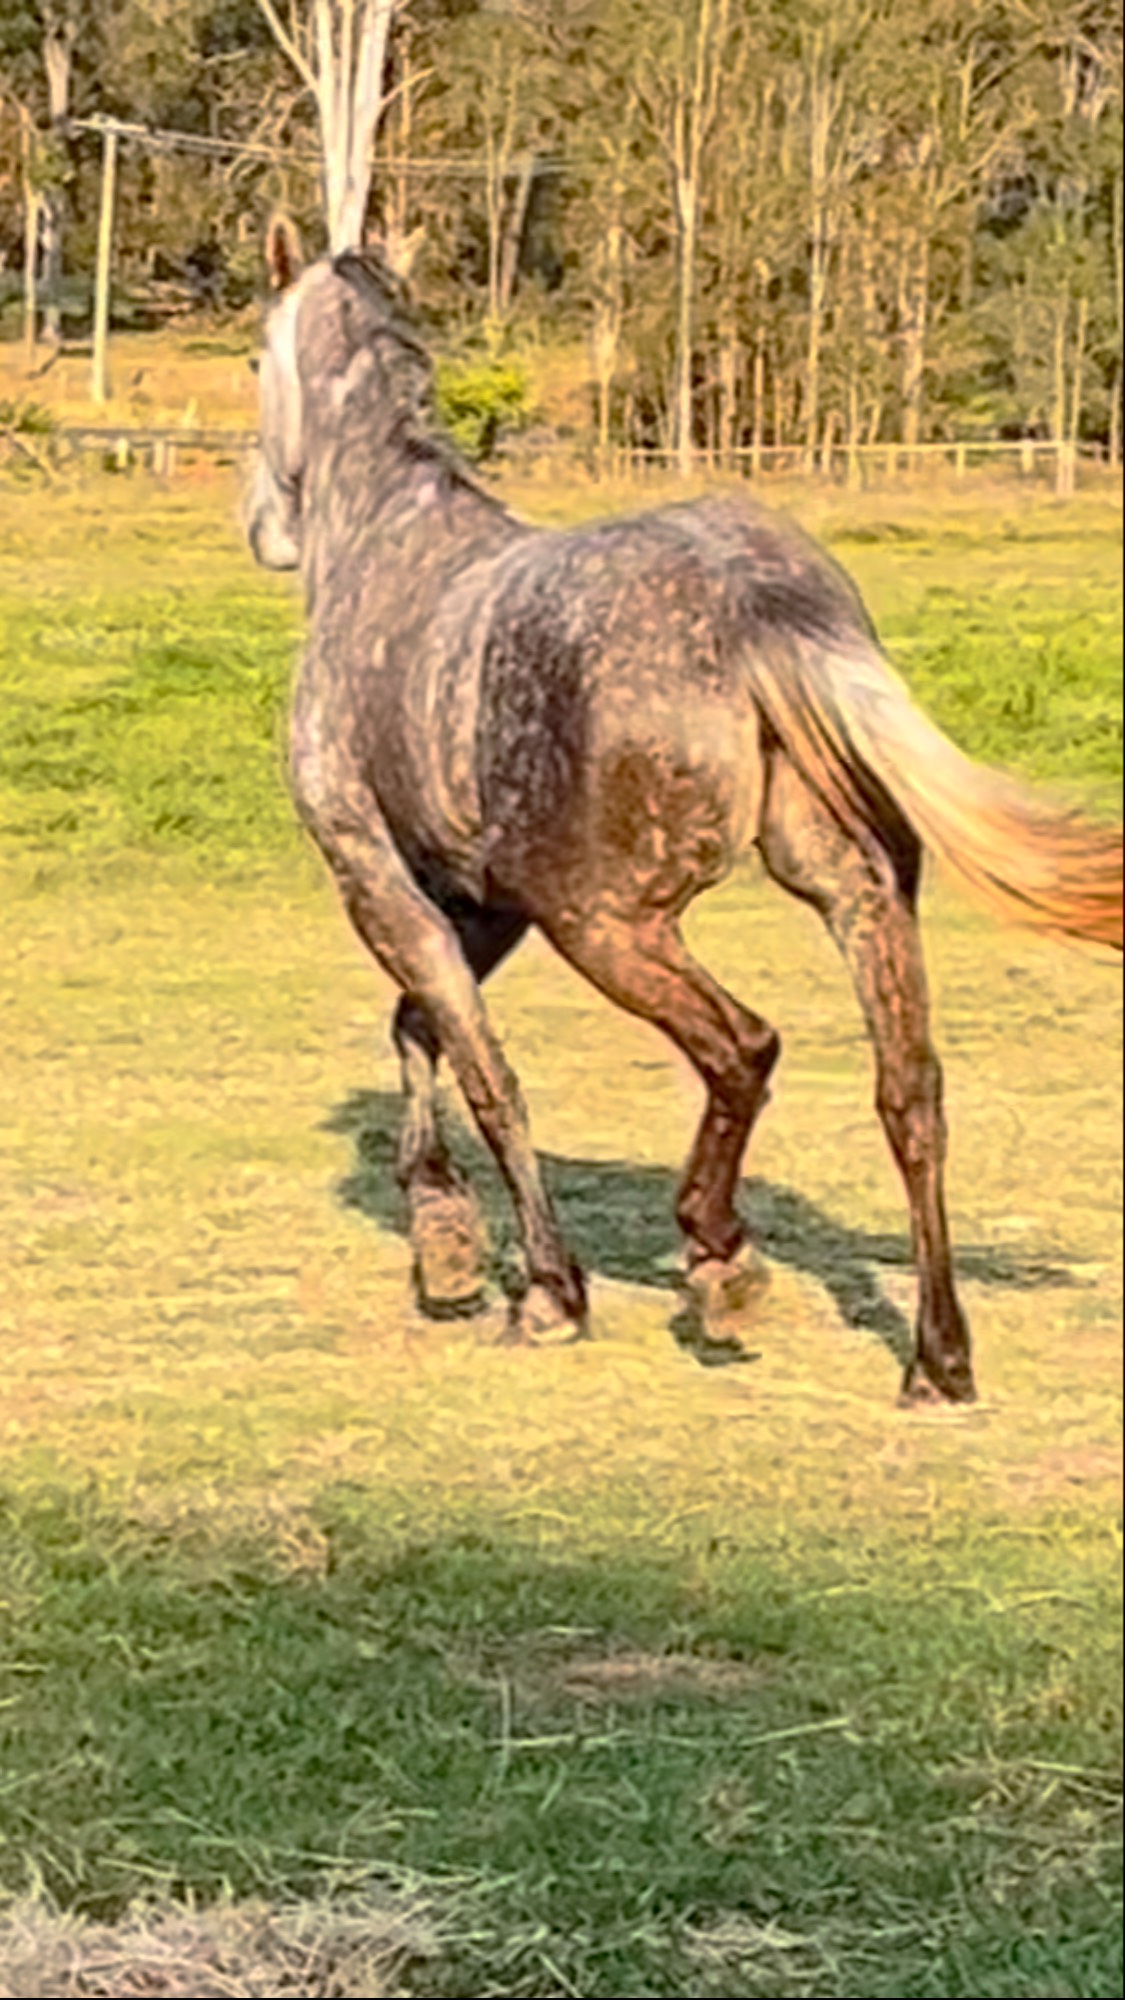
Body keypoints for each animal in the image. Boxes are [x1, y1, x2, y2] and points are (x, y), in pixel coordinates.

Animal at [245, 220, 1122, 1406]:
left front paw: (538, 1289)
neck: (388, 546)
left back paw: (718, 1257)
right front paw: (447, 1244)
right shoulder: (483, 901)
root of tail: (753, 595)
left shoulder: (382, 883)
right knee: (910, 1094)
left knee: (743, 1046)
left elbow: (483, 1070)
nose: (263, 527)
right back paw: (936, 1359)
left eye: (255, 354)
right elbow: (420, 1028)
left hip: (611, 928)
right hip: (855, 892)